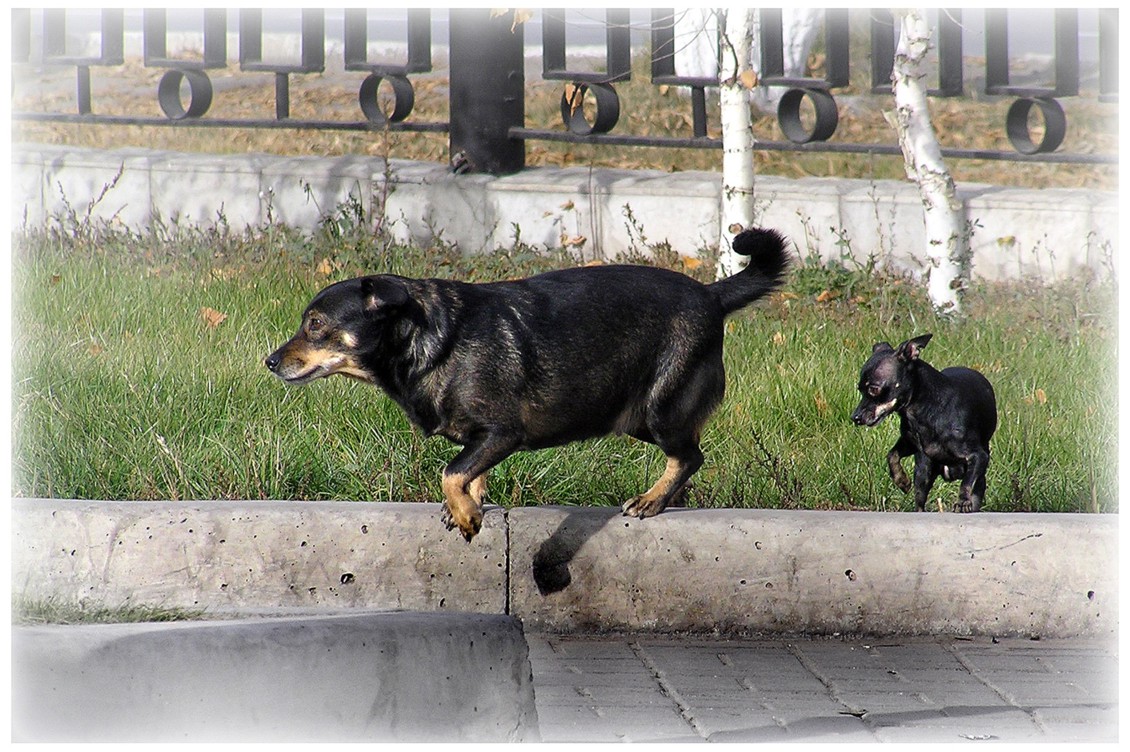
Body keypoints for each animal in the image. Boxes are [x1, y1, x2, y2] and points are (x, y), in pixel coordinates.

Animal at [267, 228, 791, 540]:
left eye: (315, 325)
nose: (270, 362)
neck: (430, 339)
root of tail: (710, 294)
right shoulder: (483, 440)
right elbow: (469, 470)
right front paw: (471, 502)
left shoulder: (503, 432)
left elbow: (452, 471)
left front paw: (467, 515)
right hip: (638, 417)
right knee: (688, 454)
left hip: (658, 408)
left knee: (690, 455)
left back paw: (653, 499)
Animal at [849, 332, 994, 511]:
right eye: (860, 389)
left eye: (874, 389)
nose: (855, 417)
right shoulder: (910, 444)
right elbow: (892, 455)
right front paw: (901, 480)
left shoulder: (978, 456)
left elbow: (967, 482)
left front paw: (962, 501)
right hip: (923, 472)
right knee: (919, 500)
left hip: (978, 478)